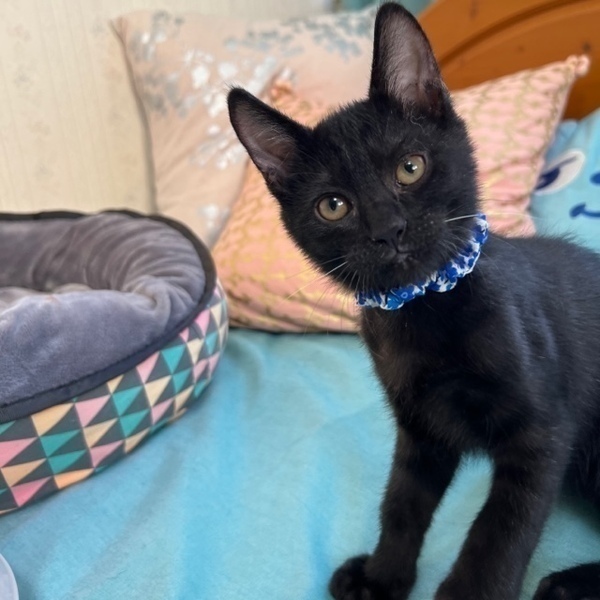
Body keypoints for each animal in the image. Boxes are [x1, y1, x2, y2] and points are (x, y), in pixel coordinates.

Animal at [227, 3, 600, 599]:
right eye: (333, 206)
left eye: (410, 167)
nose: (388, 229)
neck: (425, 310)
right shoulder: (421, 430)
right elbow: (400, 506)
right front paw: (381, 578)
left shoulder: (540, 435)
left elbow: (498, 536)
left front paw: (467, 593)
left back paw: (568, 584)